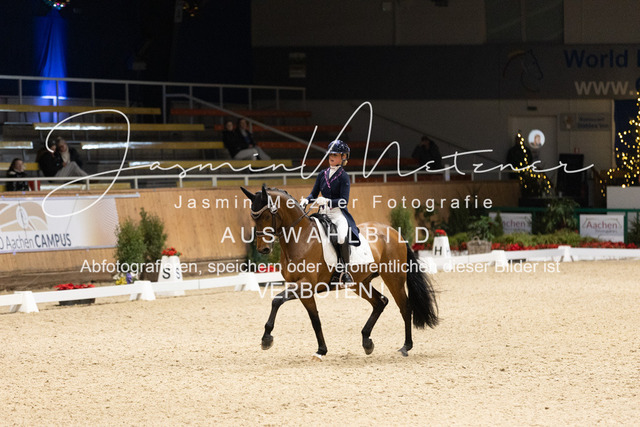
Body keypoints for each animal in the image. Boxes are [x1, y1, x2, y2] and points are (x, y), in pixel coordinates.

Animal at [241, 184, 438, 359]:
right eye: (253, 217)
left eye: (267, 215)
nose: (263, 249)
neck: (301, 238)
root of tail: (394, 232)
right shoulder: (304, 290)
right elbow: (315, 319)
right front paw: (321, 350)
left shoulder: (305, 284)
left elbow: (276, 300)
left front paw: (266, 338)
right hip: (359, 283)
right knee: (380, 302)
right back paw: (367, 341)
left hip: (393, 278)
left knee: (405, 307)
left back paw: (405, 347)